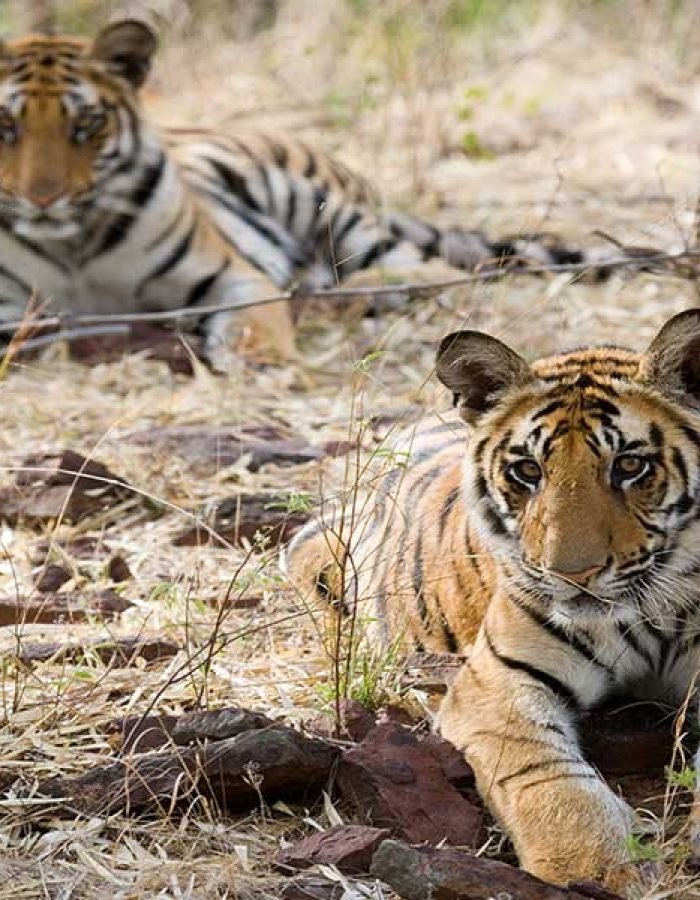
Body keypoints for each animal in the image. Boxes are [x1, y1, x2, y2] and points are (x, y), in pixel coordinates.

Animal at [0, 19, 613, 365]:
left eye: (85, 125)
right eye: (7, 126)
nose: (44, 199)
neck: (73, 246)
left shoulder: (234, 276)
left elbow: (255, 327)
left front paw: (255, 362)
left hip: (324, 209)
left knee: (437, 270)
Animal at [283, 308, 700, 894]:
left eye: (629, 466)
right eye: (528, 471)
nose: (572, 575)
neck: (662, 601)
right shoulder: (497, 683)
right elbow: (549, 777)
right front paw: (598, 867)